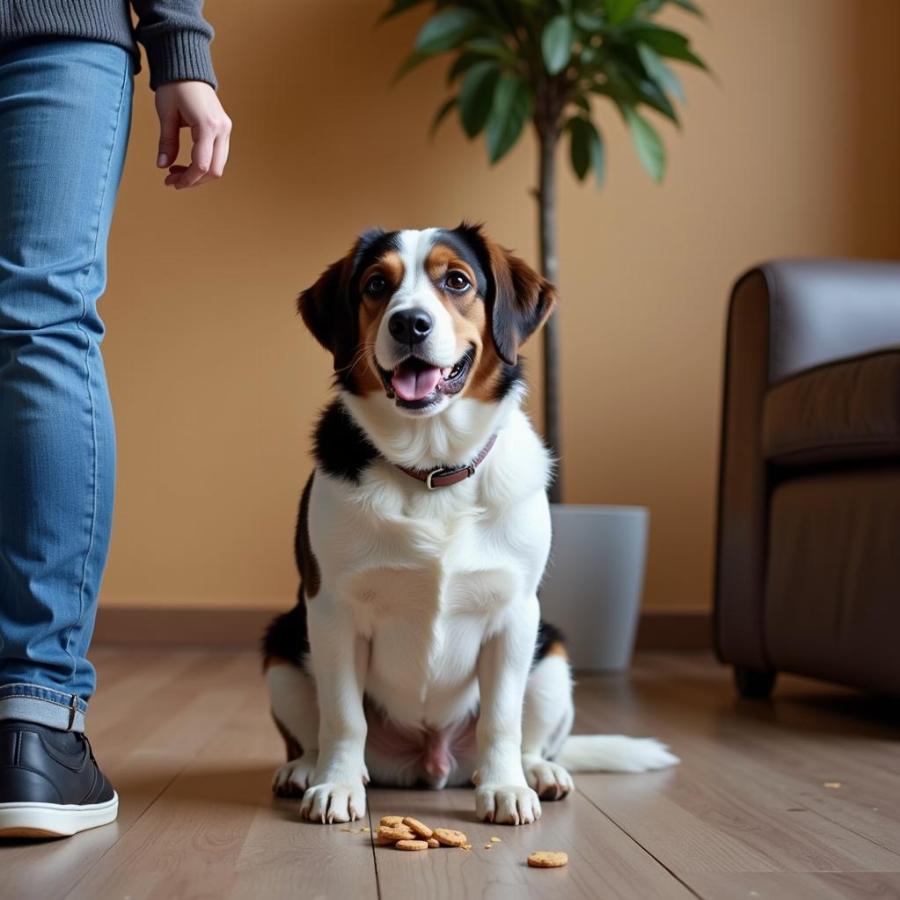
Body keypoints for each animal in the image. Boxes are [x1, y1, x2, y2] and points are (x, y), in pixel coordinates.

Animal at [264, 223, 680, 824]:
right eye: (376, 284)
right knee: (312, 731)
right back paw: (306, 769)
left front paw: (505, 788)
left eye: (457, 280)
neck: (432, 468)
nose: (409, 323)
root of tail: (430, 762)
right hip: (283, 647)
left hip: (551, 656)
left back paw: (538, 772)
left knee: (531, 737)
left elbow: (501, 720)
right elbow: (343, 717)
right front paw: (337, 784)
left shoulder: (514, 615)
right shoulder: (333, 611)